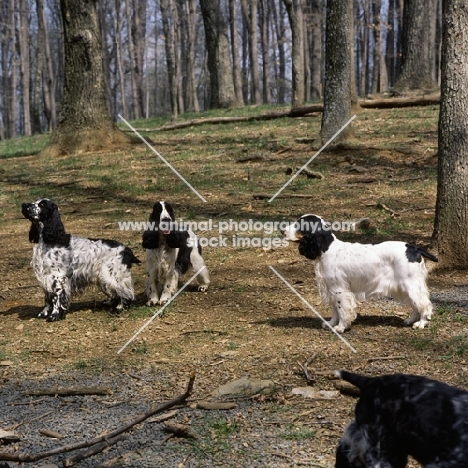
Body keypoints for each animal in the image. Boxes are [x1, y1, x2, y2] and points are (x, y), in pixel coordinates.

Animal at [282, 214, 438, 330]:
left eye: (299, 224)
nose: (282, 230)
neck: (327, 248)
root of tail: (414, 248)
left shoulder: (340, 289)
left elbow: (342, 310)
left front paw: (340, 327)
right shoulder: (331, 289)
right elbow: (334, 310)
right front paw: (331, 323)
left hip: (410, 284)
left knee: (425, 304)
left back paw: (421, 323)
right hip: (404, 286)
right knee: (416, 305)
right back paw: (410, 320)